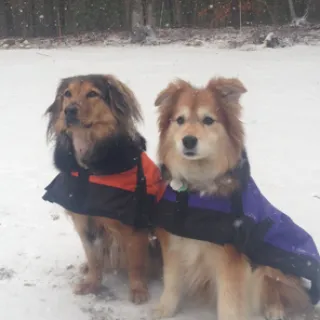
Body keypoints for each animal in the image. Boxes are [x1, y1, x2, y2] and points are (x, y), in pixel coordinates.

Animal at [42, 74, 161, 304]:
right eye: (67, 94)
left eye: (92, 94)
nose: (69, 110)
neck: (88, 171)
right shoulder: (83, 220)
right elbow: (93, 257)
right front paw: (92, 283)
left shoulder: (134, 223)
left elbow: (136, 262)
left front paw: (138, 290)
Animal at [152, 78, 318, 320]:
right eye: (180, 120)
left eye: (208, 120)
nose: (188, 140)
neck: (195, 190)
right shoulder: (174, 243)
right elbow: (172, 282)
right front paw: (164, 309)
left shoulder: (230, 260)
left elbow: (229, 300)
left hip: (272, 258)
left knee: (279, 289)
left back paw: (274, 308)